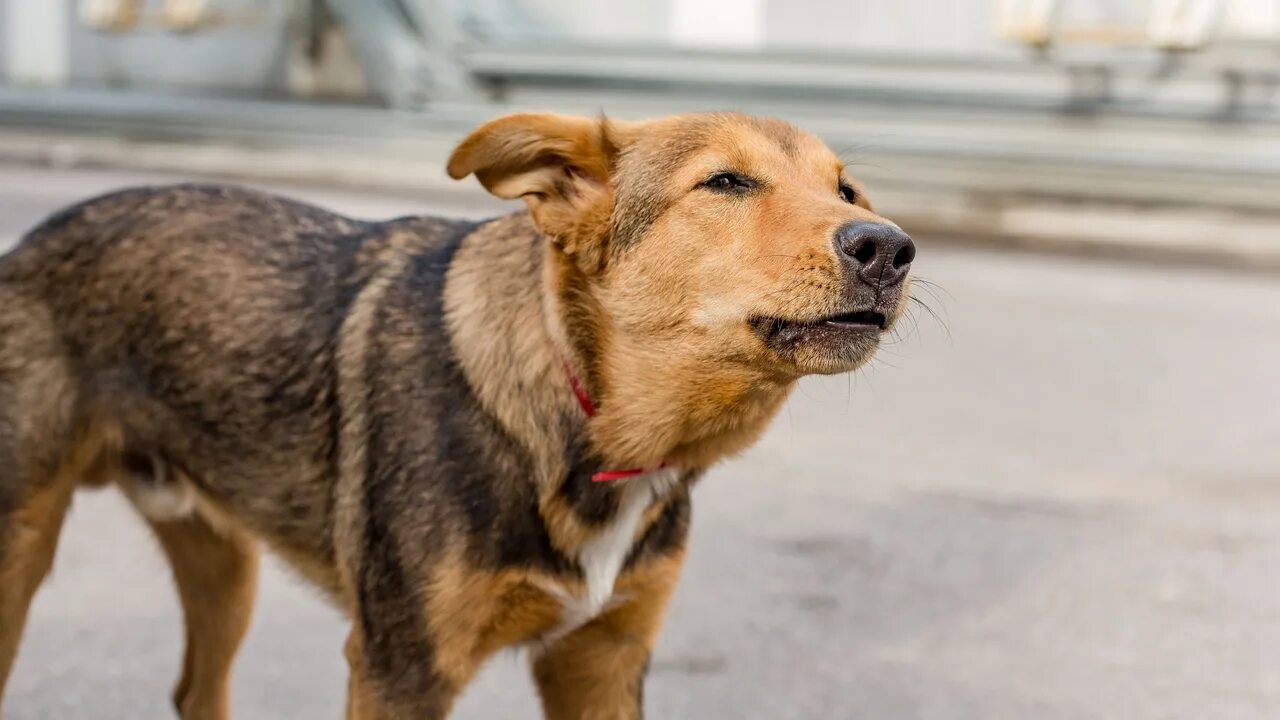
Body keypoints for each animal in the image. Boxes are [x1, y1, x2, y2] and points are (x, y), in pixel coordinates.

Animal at [0, 112, 921, 717]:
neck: (585, 421)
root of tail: (29, 242)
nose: (889, 248)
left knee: (198, 690)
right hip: (20, 555)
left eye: (847, 189)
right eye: (726, 182)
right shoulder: (400, 670)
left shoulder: (603, 661)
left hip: (224, 563)